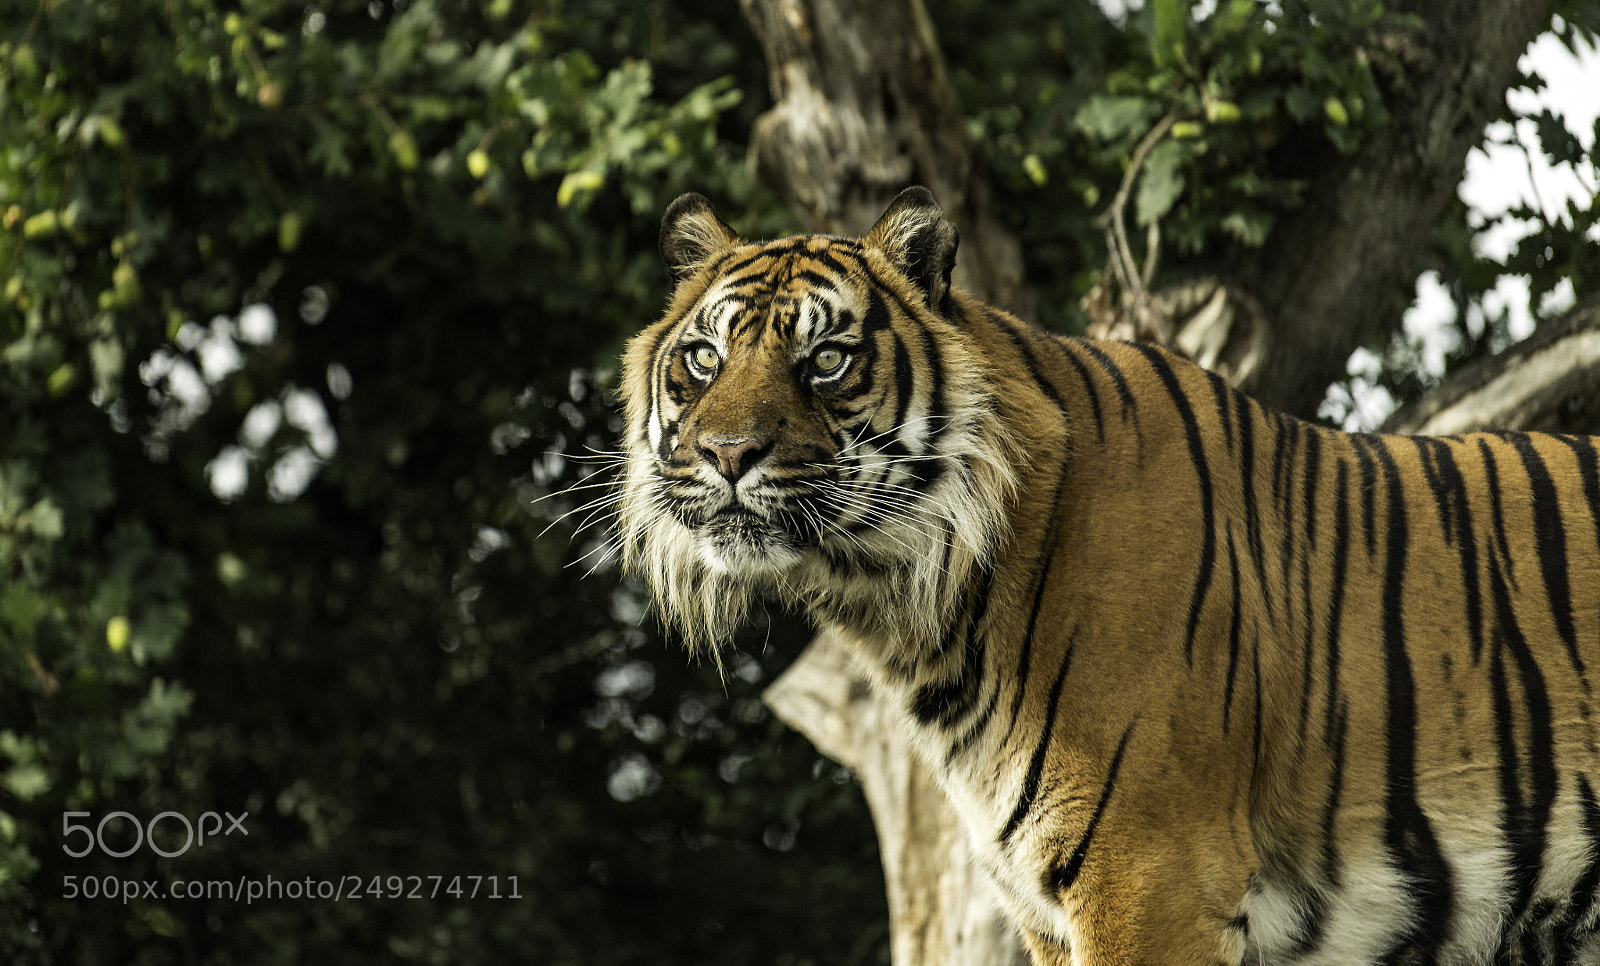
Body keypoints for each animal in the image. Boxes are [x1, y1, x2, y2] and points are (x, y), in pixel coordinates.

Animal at [615, 185, 1600, 965]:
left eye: (827, 360)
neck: (918, 609)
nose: (726, 454)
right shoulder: (1048, 908)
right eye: (703, 357)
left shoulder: (1154, 876)